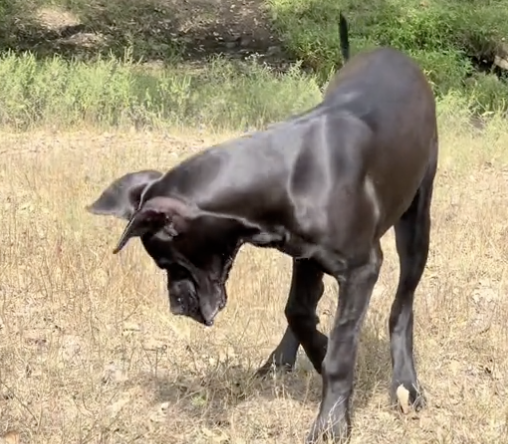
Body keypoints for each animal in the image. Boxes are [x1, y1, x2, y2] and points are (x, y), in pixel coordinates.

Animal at [86, 13, 436, 444]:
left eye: (167, 261)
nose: (177, 308)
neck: (284, 177)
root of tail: (392, 54)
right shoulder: (308, 256)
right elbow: (301, 315)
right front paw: (317, 352)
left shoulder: (361, 269)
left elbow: (340, 352)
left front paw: (332, 422)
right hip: (310, 260)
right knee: (301, 307)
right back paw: (281, 358)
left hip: (416, 221)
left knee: (403, 305)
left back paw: (406, 383)